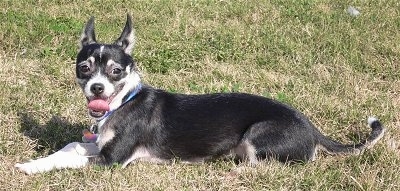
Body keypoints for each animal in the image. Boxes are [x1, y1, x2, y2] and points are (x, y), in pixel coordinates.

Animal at [14, 15, 384, 175]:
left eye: (116, 71)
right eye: (85, 67)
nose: (97, 89)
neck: (124, 102)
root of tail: (312, 128)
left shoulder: (112, 160)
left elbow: (72, 159)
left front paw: (32, 169)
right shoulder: (97, 144)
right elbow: (70, 146)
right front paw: (34, 161)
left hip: (258, 135)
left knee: (270, 166)